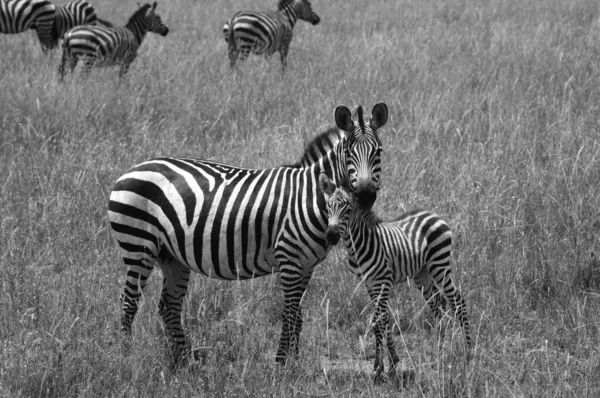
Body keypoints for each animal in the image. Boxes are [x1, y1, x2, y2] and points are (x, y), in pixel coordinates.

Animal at [108, 102, 390, 366]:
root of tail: (132, 169)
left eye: (378, 152)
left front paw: (294, 363)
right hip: (138, 245)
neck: (310, 196)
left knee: (169, 305)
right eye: (349, 153)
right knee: (129, 302)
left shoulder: (306, 265)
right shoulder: (288, 258)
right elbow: (289, 314)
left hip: (171, 255)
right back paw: (126, 358)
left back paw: (184, 362)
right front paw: (281, 364)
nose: (366, 196)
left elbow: (298, 316)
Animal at [318, 176, 474, 380]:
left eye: (349, 209)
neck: (361, 243)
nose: (331, 235)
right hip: (422, 274)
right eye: (328, 208)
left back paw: (469, 354)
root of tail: (434, 214)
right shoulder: (370, 283)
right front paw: (392, 363)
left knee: (458, 303)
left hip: (440, 266)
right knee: (438, 304)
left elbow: (378, 322)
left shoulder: (382, 281)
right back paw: (440, 352)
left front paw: (377, 369)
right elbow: (384, 319)